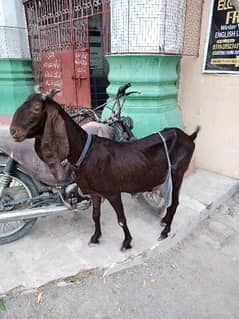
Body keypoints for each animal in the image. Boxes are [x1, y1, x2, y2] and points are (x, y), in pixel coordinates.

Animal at [9, 89, 200, 250]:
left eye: (36, 108)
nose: (13, 131)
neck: (86, 151)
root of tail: (189, 137)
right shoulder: (95, 192)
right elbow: (95, 215)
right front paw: (95, 238)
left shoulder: (113, 192)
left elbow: (121, 219)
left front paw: (127, 242)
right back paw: (164, 222)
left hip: (177, 172)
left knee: (174, 202)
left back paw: (165, 232)